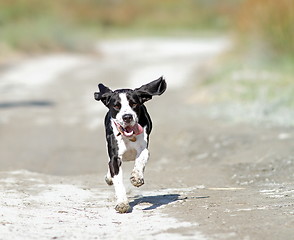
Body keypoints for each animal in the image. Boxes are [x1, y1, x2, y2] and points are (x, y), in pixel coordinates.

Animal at [95, 76, 167, 212]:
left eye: (134, 104)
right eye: (116, 106)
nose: (127, 117)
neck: (129, 138)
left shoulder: (144, 148)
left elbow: (141, 158)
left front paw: (137, 177)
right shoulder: (115, 158)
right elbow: (118, 180)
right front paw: (122, 203)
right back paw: (109, 178)